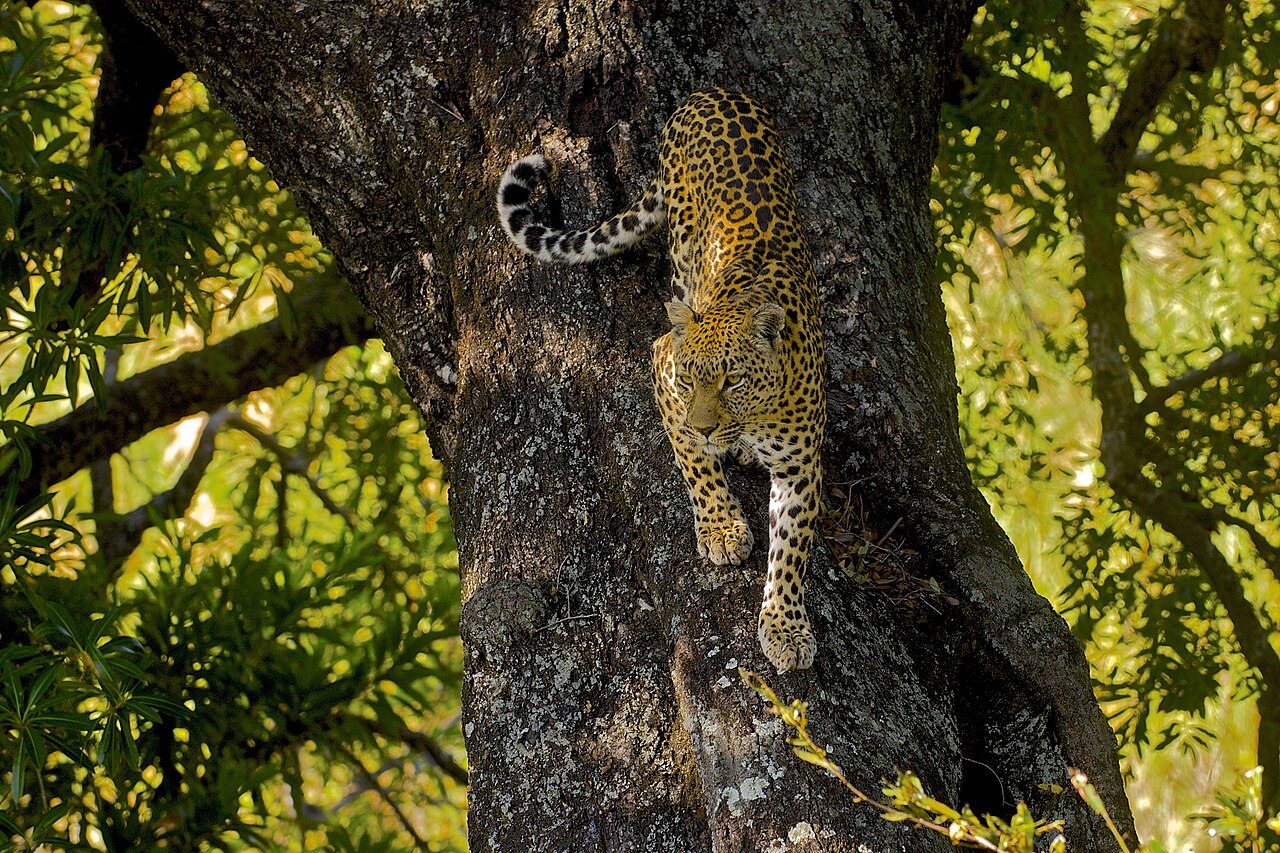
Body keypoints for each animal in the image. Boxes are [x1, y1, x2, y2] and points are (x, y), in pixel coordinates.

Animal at [496, 89, 826, 672]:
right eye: (692, 380)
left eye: (733, 380)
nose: (707, 426)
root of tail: (710, 93)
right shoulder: (664, 367)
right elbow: (692, 461)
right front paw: (721, 527)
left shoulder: (800, 465)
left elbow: (790, 551)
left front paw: (785, 627)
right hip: (681, 247)